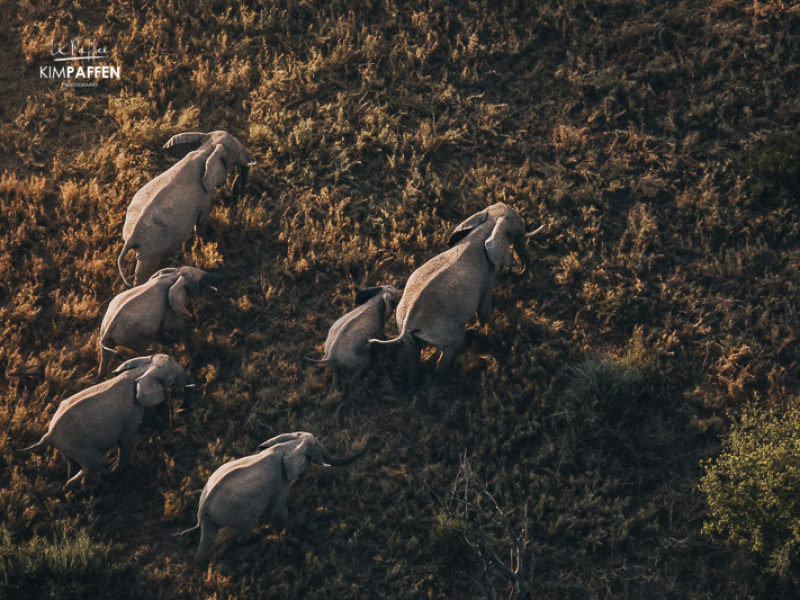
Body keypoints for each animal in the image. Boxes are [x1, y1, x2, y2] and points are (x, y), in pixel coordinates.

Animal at [19, 354, 195, 490]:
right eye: (173, 380)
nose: (181, 409)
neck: (142, 369)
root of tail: (49, 435)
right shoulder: (131, 412)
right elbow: (126, 441)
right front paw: (111, 474)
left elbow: (149, 417)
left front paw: (167, 428)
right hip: (81, 447)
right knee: (93, 464)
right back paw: (78, 487)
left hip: (68, 447)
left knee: (73, 464)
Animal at [117, 131, 255, 288]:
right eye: (236, 152)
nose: (238, 191)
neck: (206, 149)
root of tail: (131, 239)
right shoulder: (204, 195)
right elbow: (202, 220)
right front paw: (205, 244)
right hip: (151, 248)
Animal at [179, 432, 366, 564]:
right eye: (313, 454)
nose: (367, 446)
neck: (289, 444)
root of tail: (203, 508)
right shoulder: (280, 482)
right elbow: (278, 510)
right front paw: (291, 529)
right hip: (231, 512)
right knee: (249, 525)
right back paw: (245, 544)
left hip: (213, 515)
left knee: (208, 535)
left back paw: (199, 562)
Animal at [372, 204, 540, 386]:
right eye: (519, 227)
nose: (513, 272)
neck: (486, 226)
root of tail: (409, 322)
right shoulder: (488, 277)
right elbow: (484, 308)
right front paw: (486, 331)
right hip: (444, 331)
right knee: (454, 343)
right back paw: (447, 375)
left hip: (404, 327)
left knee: (413, 354)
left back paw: (414, 384)